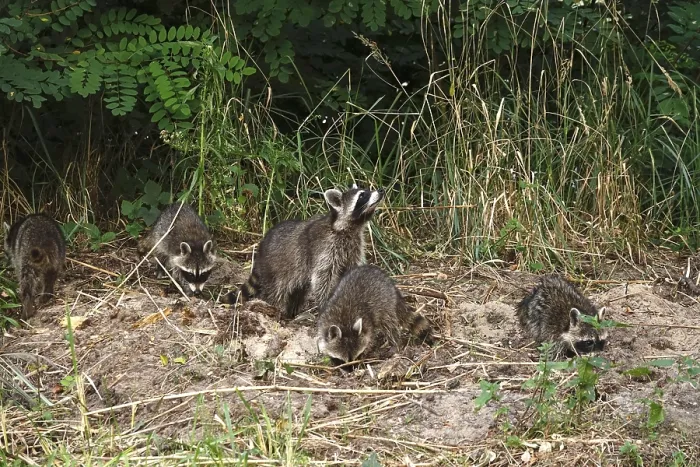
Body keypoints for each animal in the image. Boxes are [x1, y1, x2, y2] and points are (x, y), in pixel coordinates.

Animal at [223, 184, 384, 319]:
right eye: (362, 195)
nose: (381, 190)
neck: (350, 228)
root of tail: (260, 251)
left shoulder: (354, 247)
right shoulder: (324, 249)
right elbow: (322, 279)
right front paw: (325, 304)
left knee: (298, 292)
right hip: (275, 270)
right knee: (275, 292)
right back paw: (273, 308)